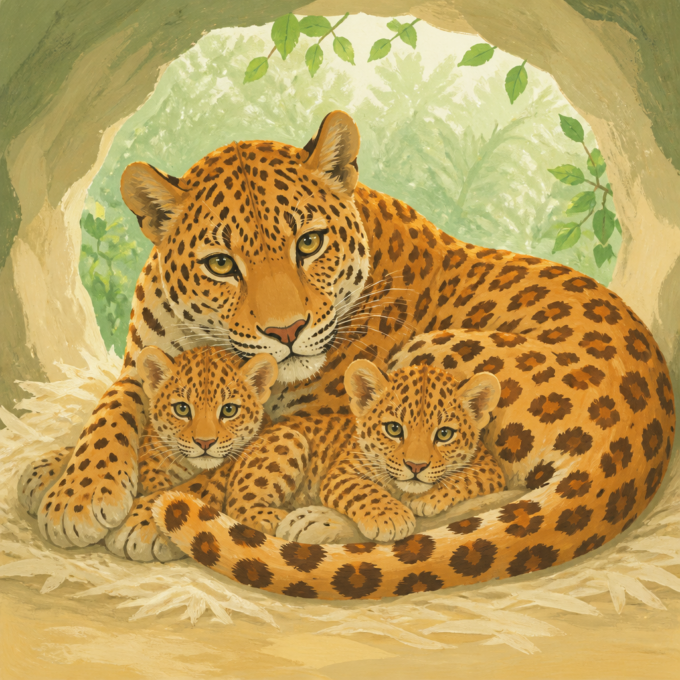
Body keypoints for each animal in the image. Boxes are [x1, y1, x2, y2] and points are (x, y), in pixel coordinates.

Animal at [33, 109, 673, 599]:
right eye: (220, 263)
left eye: (309, 243)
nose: (287, 330)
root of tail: (646, 429)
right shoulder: (147, 367)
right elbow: (114, 407)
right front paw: (71, 490)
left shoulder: (317, 414)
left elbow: (225, 466)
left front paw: (145, 516)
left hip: (437, 356)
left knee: (451, 503)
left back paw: (314, 521)